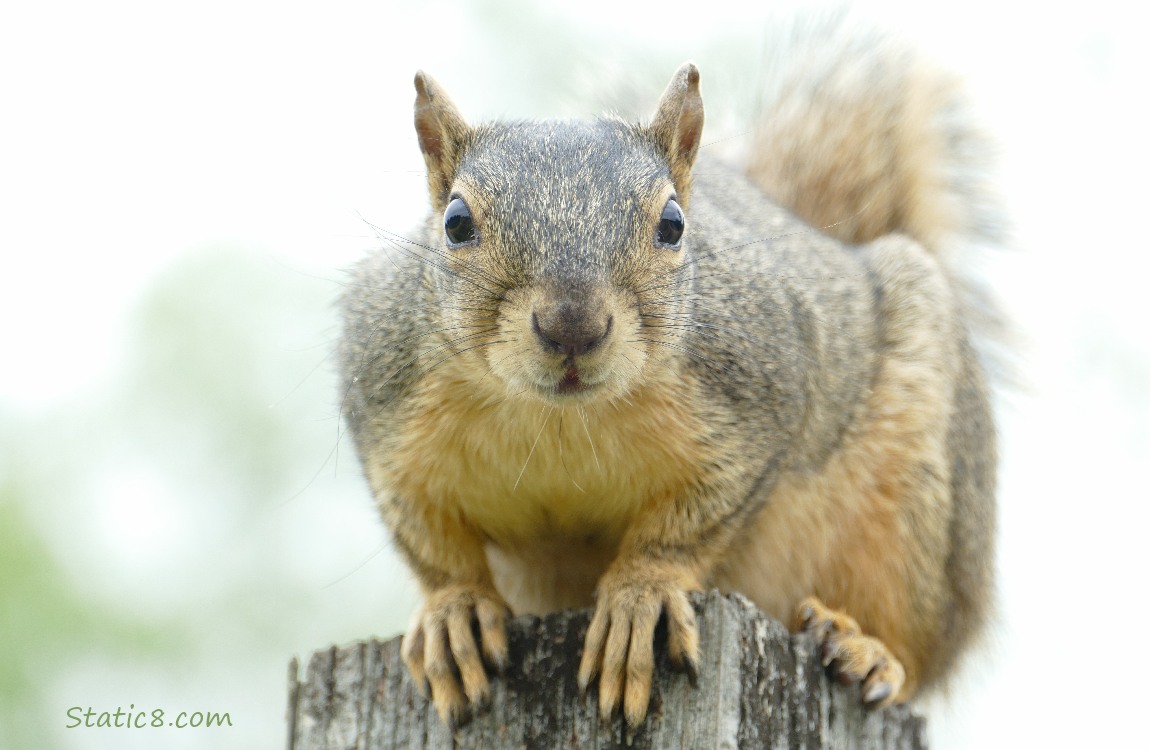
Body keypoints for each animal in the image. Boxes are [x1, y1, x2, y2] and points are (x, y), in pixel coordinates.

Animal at [339, 11, 999, 731]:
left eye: (674, 224)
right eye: (456, 222)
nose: (573, 327)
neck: (559, 419)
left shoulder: (757, 394)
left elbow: (692, 522)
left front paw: (641, 595)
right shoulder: (385, 410)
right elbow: (427, 538)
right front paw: (452, 610)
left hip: (914, 507)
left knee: (917, 644)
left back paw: (867, 649)